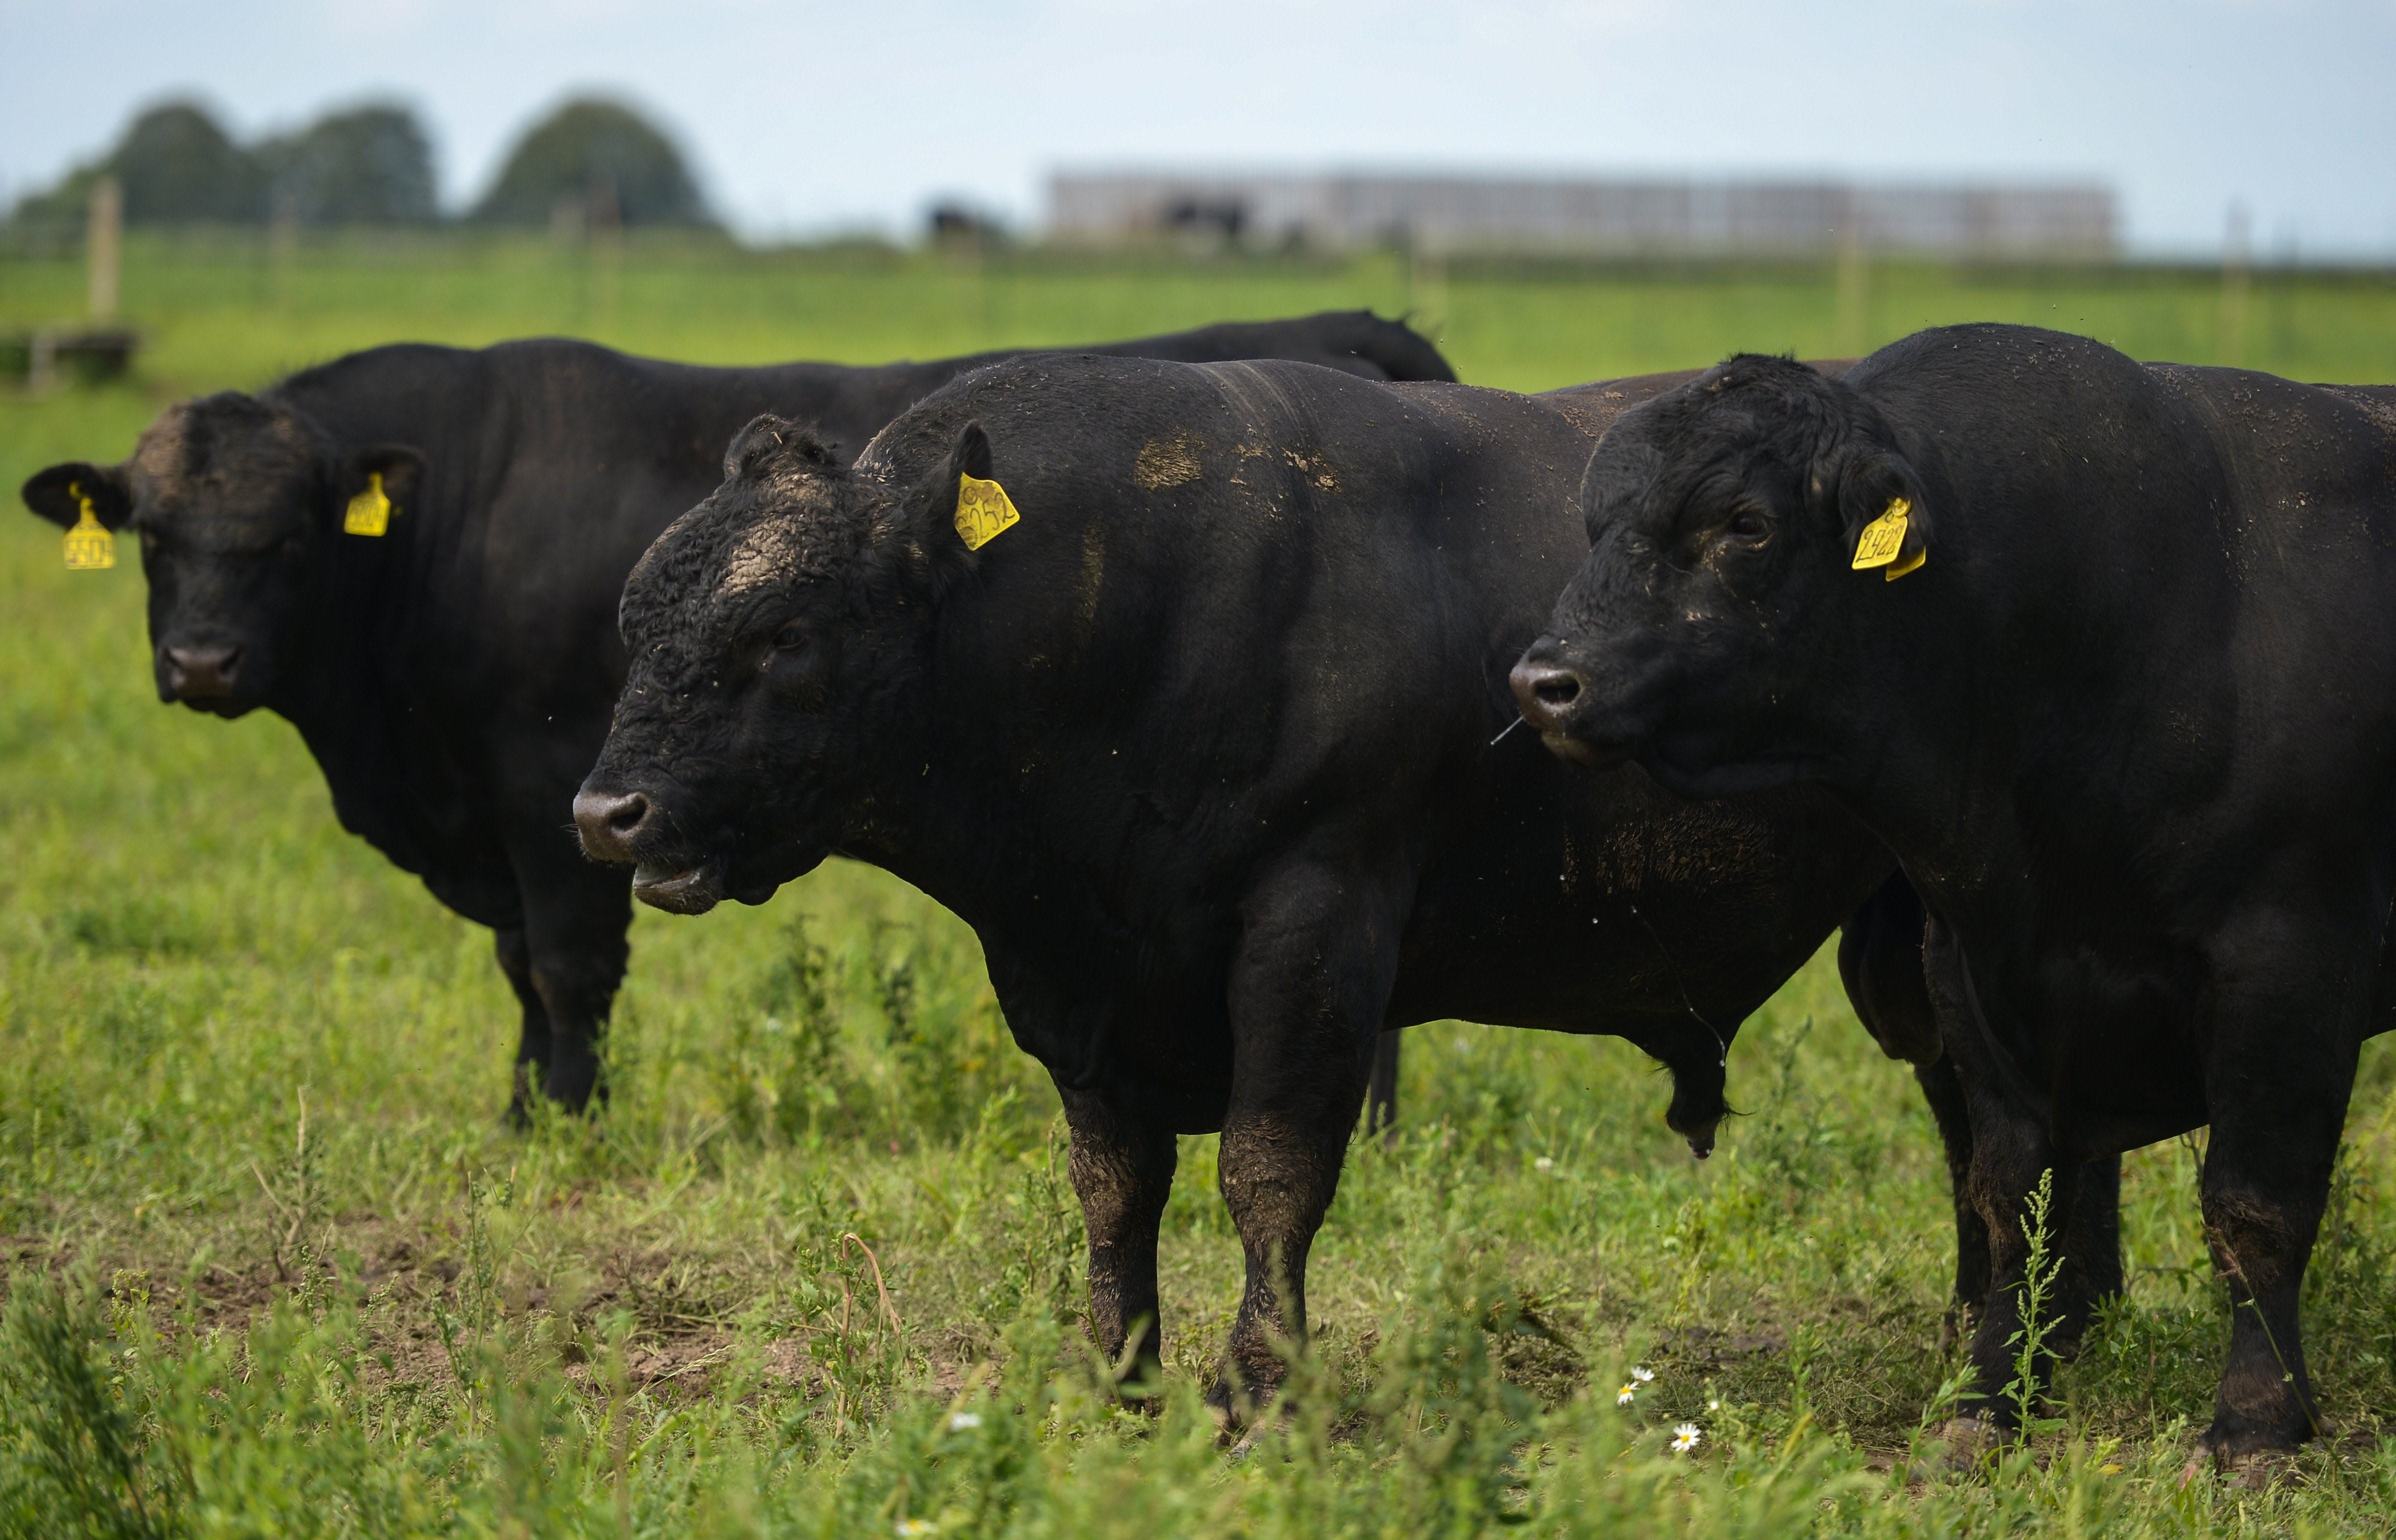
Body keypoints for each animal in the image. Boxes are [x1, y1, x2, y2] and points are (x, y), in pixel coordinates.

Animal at [18, 316, 1447, 1130]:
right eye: (153, 535)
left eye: (286, 537)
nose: (203, 662)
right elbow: (519, 973)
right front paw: (520, 1111)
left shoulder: (548, 785)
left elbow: (565, 967)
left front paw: (566, 1129)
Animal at [575, 359, 2098, 1418]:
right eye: (634, 621)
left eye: (782, 632)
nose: (606, 813)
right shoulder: (1074, 978)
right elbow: (1113, 1185)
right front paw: (1116, 1374)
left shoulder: (1316, 927)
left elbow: (1270, 1167)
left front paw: (1258, 1384)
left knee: (1998, 1129)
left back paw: (2002, 1363)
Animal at [1514, 323, 2396, 1456]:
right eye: (1596, 522)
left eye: (1744, 523)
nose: (1546, 683)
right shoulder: (1971, 963)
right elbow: (2007, 1195)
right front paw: (1987, 1400)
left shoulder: (2287, 961)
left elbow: (2254, 1207)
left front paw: (2255, 1424)